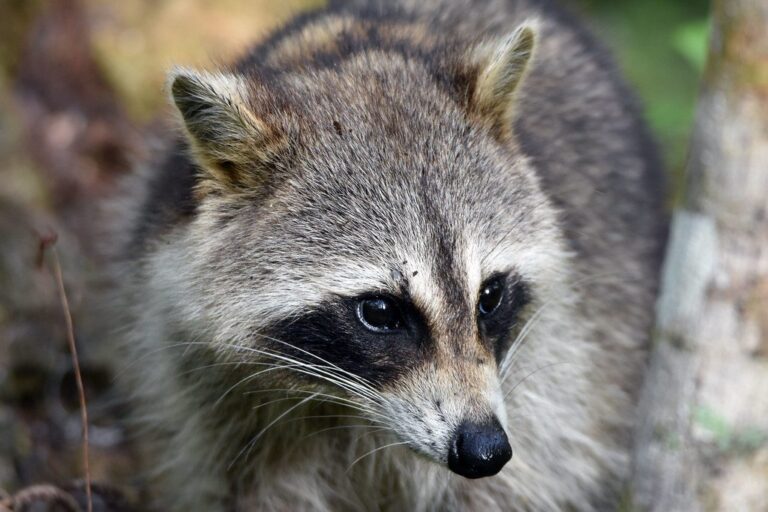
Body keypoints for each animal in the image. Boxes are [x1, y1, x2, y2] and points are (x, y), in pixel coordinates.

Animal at [110, 0, 666, 510]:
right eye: (379, 311)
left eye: (490, 296)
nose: (485, 450)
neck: (346, 406)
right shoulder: (208, 399)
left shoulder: (555, 379)